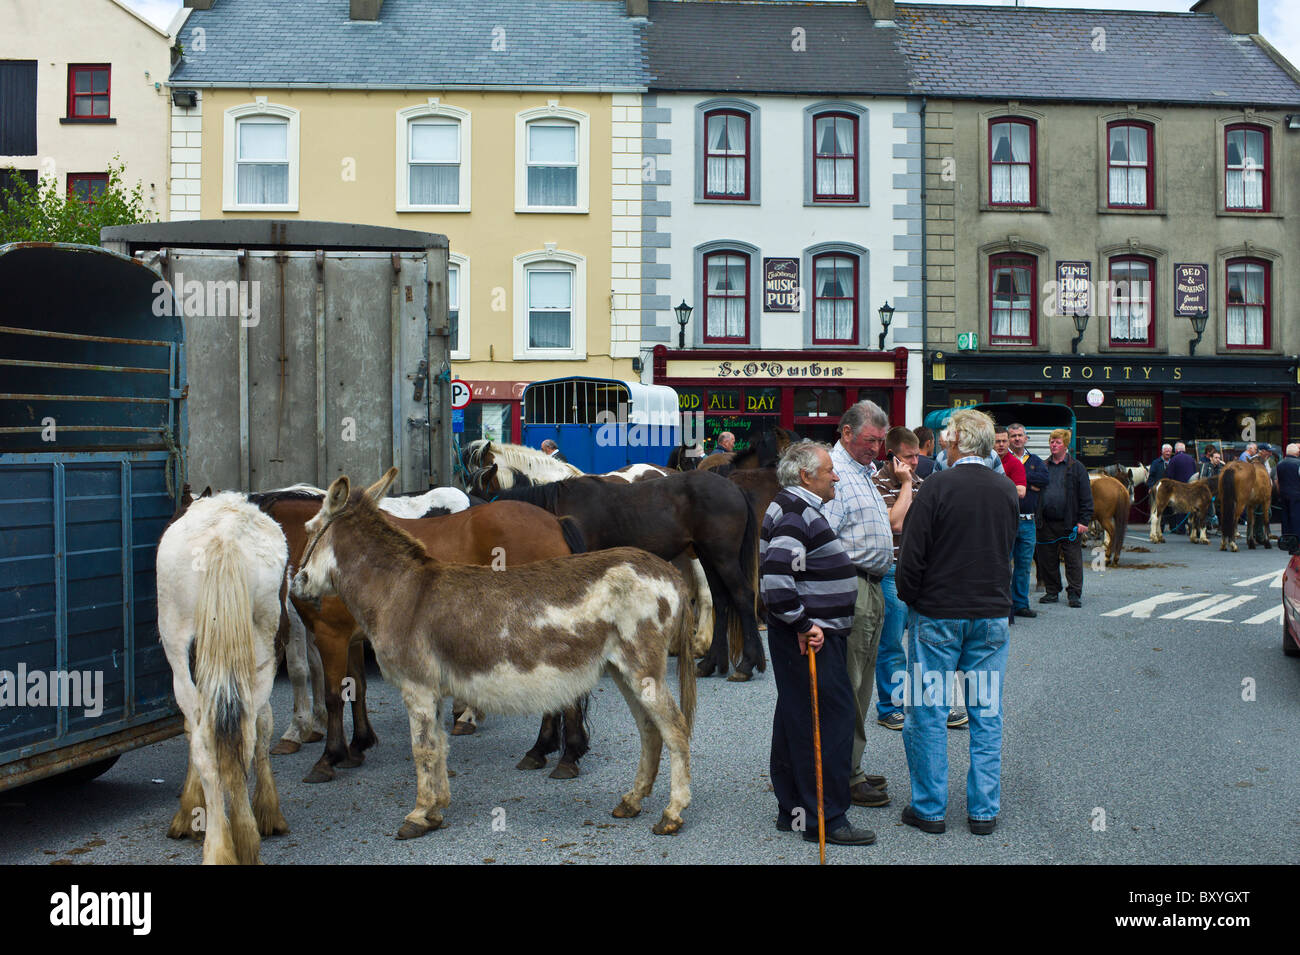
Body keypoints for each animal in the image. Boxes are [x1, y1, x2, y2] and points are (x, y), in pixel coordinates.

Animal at [156, 493, 291, 867]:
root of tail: (224, 538)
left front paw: (191, 809)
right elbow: (264, 725)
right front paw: (268, 809)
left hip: (178, 649)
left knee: (209, 742)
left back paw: (221, 845)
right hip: (258, 652)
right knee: (242, 734)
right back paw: (241, 838)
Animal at [244, 493, 590, 784]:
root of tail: (554, 522)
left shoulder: (332, 635)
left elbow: (334, 696)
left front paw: (329, 757)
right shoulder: (353, 639)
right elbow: (357, 688)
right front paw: (357, 746)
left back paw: (564, 756)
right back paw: (542, 750)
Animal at [292, 467, 702, 836]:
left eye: (309, 531)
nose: (295, 586)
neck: (400, 590)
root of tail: (669, 572)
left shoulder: (418, 687)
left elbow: (422, 749)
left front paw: (418, 815)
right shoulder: (433, 691)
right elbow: (438, 746)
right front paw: (436, 810)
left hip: (642, 667)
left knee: (675, 728)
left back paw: (672, 813)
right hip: (622, 669)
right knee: (650, 730)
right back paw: (631, 801)